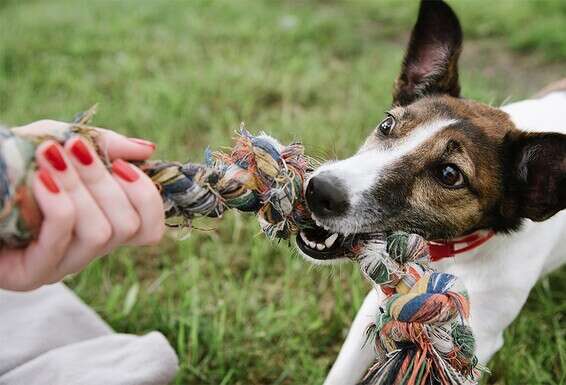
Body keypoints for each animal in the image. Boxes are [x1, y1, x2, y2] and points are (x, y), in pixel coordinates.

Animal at [296, 1, 566, 382]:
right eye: (387, 124)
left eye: (449, 174)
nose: (318, 190)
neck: (453, 254)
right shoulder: (378, 303)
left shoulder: (474, 344)